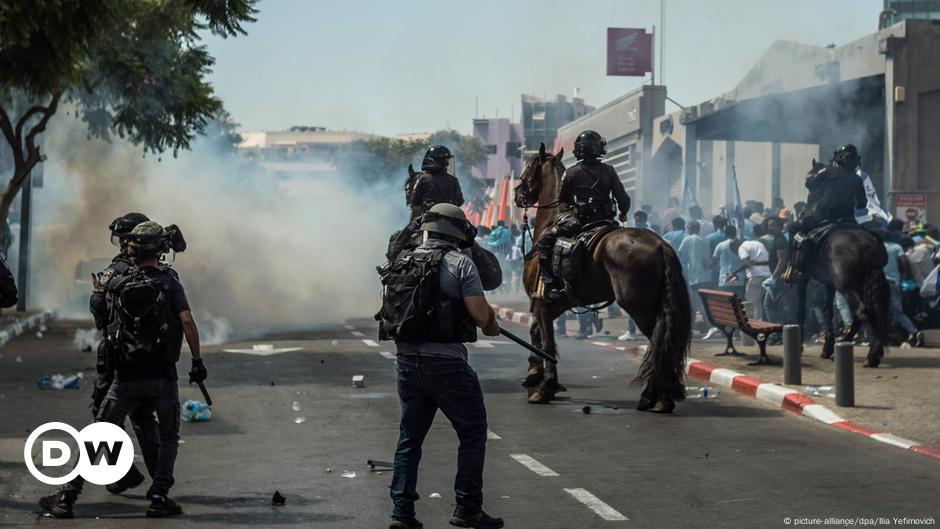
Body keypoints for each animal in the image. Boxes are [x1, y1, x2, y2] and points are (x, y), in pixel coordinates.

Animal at [516, 144, 692, 412]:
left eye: (528, 167)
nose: (517, 194)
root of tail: (661, 245)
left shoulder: (543, 304)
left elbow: (546, 343)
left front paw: (545, 387)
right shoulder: (558, 303)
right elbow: (536, 333)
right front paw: (534, 374)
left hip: (638, 307)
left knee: (657, 342)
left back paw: (655, 395)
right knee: (664, 341)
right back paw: (662, 394)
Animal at [792, 161, 888, 368]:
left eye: (809, 180)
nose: (802, 213)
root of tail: (864, 245)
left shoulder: (802, 277)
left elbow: (802, 309)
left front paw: (801, 344)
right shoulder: (829, 283)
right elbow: (828, 310)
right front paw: (827, 346)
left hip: (847, 285)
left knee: (862, 311)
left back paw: (858, 349)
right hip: (864, 283)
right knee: (869, 313)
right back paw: (866, 349)